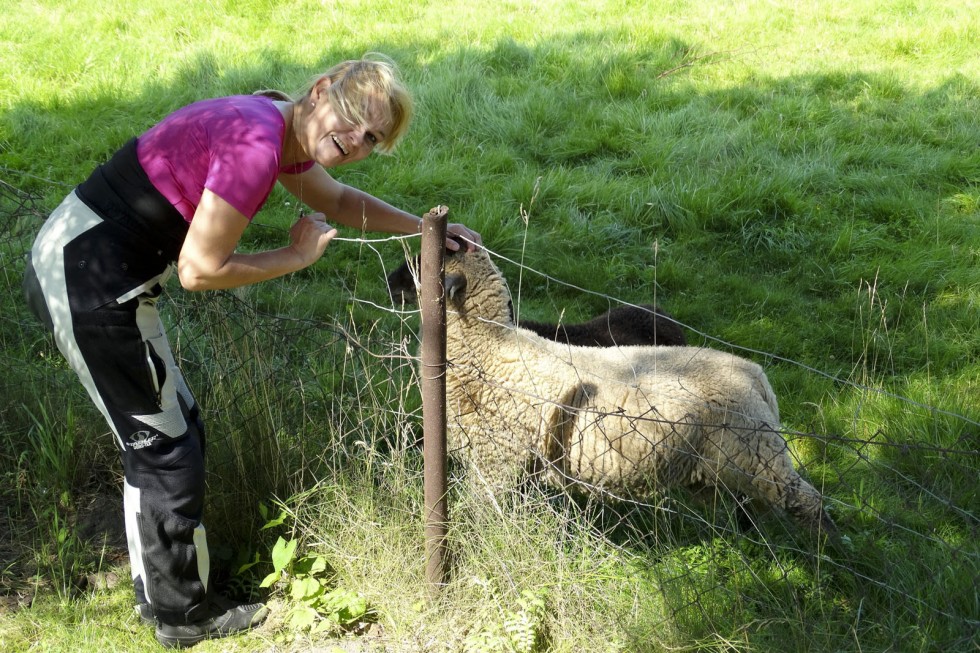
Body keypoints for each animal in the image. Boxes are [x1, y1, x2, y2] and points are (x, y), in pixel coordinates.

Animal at [428, 244, 836, 536]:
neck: (490, 348)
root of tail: (755, 374)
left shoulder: (494, 460)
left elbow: (482, 512)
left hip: (758, 456)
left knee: (806, 501)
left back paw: (824, 550)